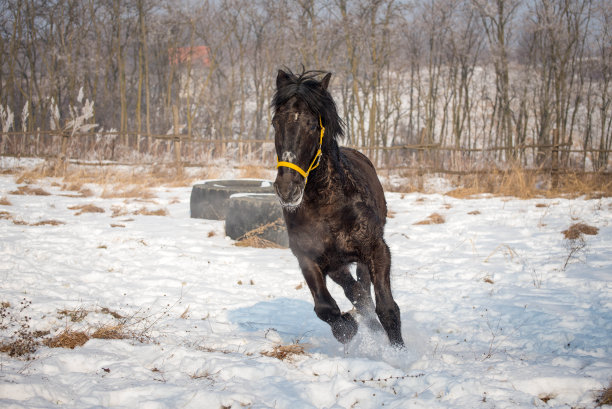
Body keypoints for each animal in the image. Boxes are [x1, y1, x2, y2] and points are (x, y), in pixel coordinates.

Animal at [272, 68, 404, 346]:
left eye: (312, 125)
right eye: (276, 123)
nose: (287, 189)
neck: (327, 207)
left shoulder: (376, 250)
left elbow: (387, 309)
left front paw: (400, 353)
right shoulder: (309, 258)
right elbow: (325, 308)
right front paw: (348, 328)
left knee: (363, 292)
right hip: (337, 266)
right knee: (356, 293)